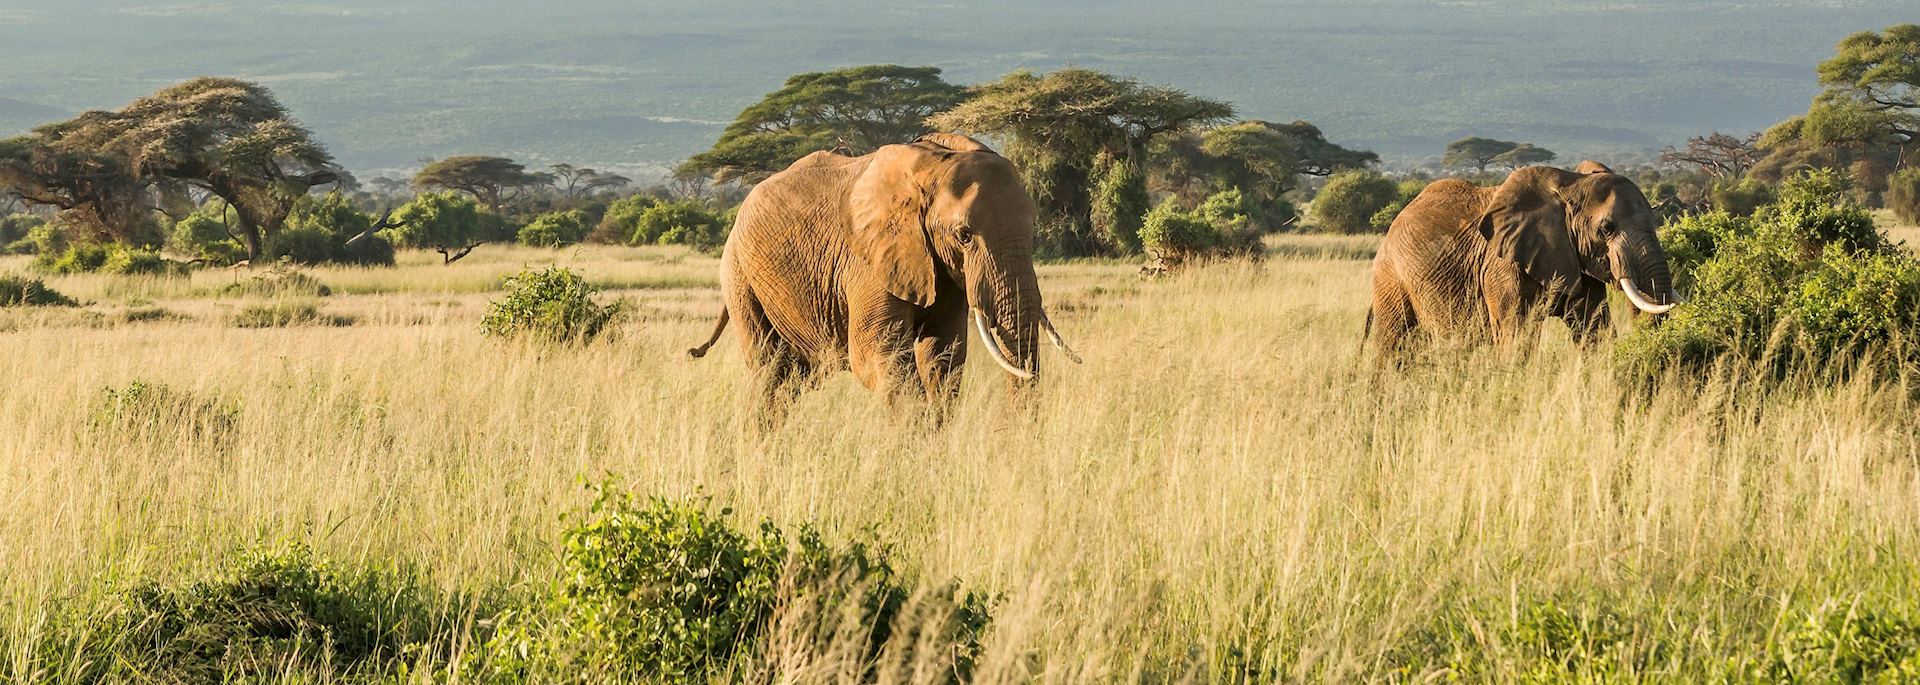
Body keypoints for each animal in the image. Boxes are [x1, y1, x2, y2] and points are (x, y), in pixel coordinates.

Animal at [691, 132, 1082, 410]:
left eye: (1033, 229)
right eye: (964, 235)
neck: (936, 162)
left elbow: (942, 357)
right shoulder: (868, 260)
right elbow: (879, 358)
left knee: (796, 379)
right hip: (740, 276)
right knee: (771, 373)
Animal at [1367, 161, 1681, 362]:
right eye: (1607, 229)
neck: (1572, 184)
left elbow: (1595, 331)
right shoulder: (1502, 266)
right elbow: (1516, 337)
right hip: (1391, 277)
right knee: (1393, 344)